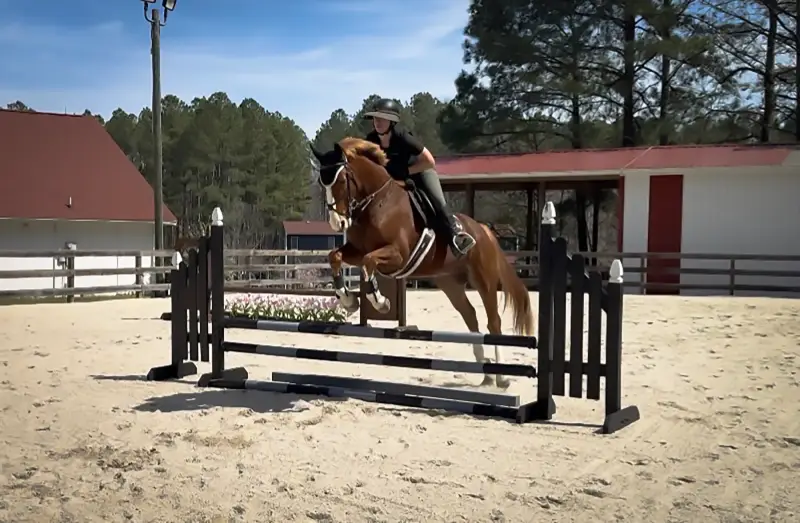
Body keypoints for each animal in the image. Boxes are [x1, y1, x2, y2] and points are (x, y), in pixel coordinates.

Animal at [310, 137, 535, 388]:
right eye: (322, 182)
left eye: (341, 180)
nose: (337, 223)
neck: (377, 202)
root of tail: (484, 231)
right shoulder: (357, 251)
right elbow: (335, 256)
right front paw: (348, 300)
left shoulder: (397, 254)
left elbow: (369, 263)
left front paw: (381, 302)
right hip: (450, 284)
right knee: (470, 316)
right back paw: (485, 372)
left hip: (484, 280)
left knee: (493, 321)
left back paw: (501, 376)